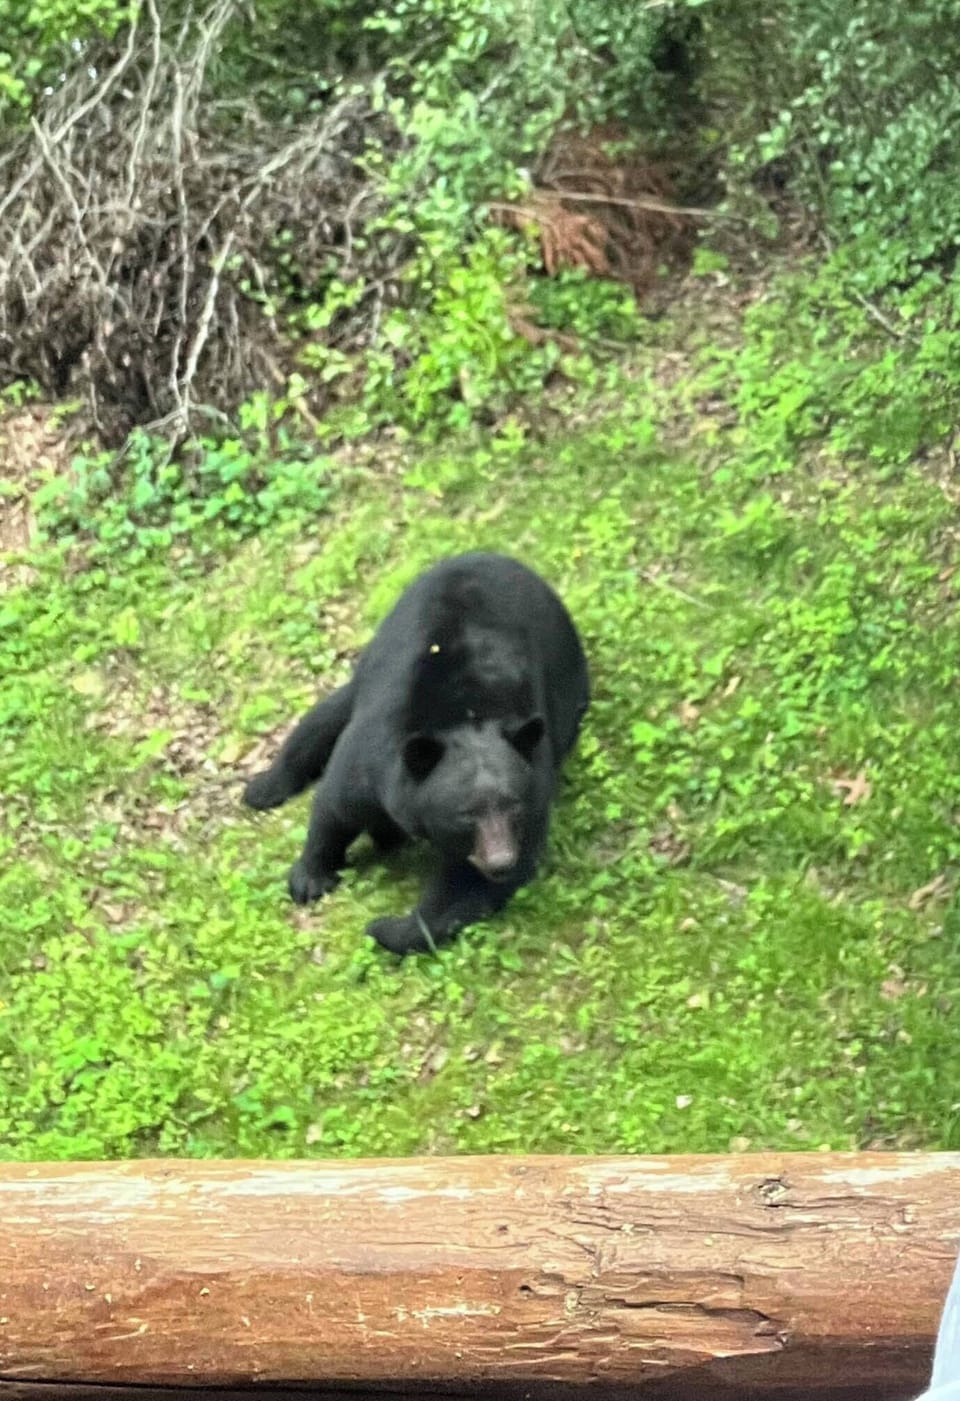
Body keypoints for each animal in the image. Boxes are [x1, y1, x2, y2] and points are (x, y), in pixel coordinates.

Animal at [243, 551, 589, 955]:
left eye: (514, 805)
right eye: (466, 814)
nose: (502, 861)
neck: (464, 715)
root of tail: (490, 555)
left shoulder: (534, 791)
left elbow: (465, 887)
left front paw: (387, 927)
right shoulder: (373, 754)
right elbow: (338, 804)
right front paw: (310, 877)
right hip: (371, 660)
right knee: (325, 717)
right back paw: (264, 788)